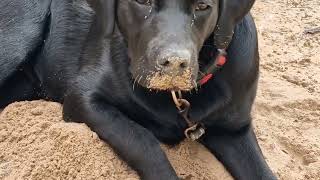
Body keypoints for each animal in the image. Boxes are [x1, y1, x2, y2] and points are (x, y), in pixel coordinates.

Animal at [0, 0, 278, 179]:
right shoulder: (85, 98)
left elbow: (263, 172)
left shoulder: (234, 131)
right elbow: (143, 142)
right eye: (142, 2)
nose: (173, 63)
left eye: (202, 7)